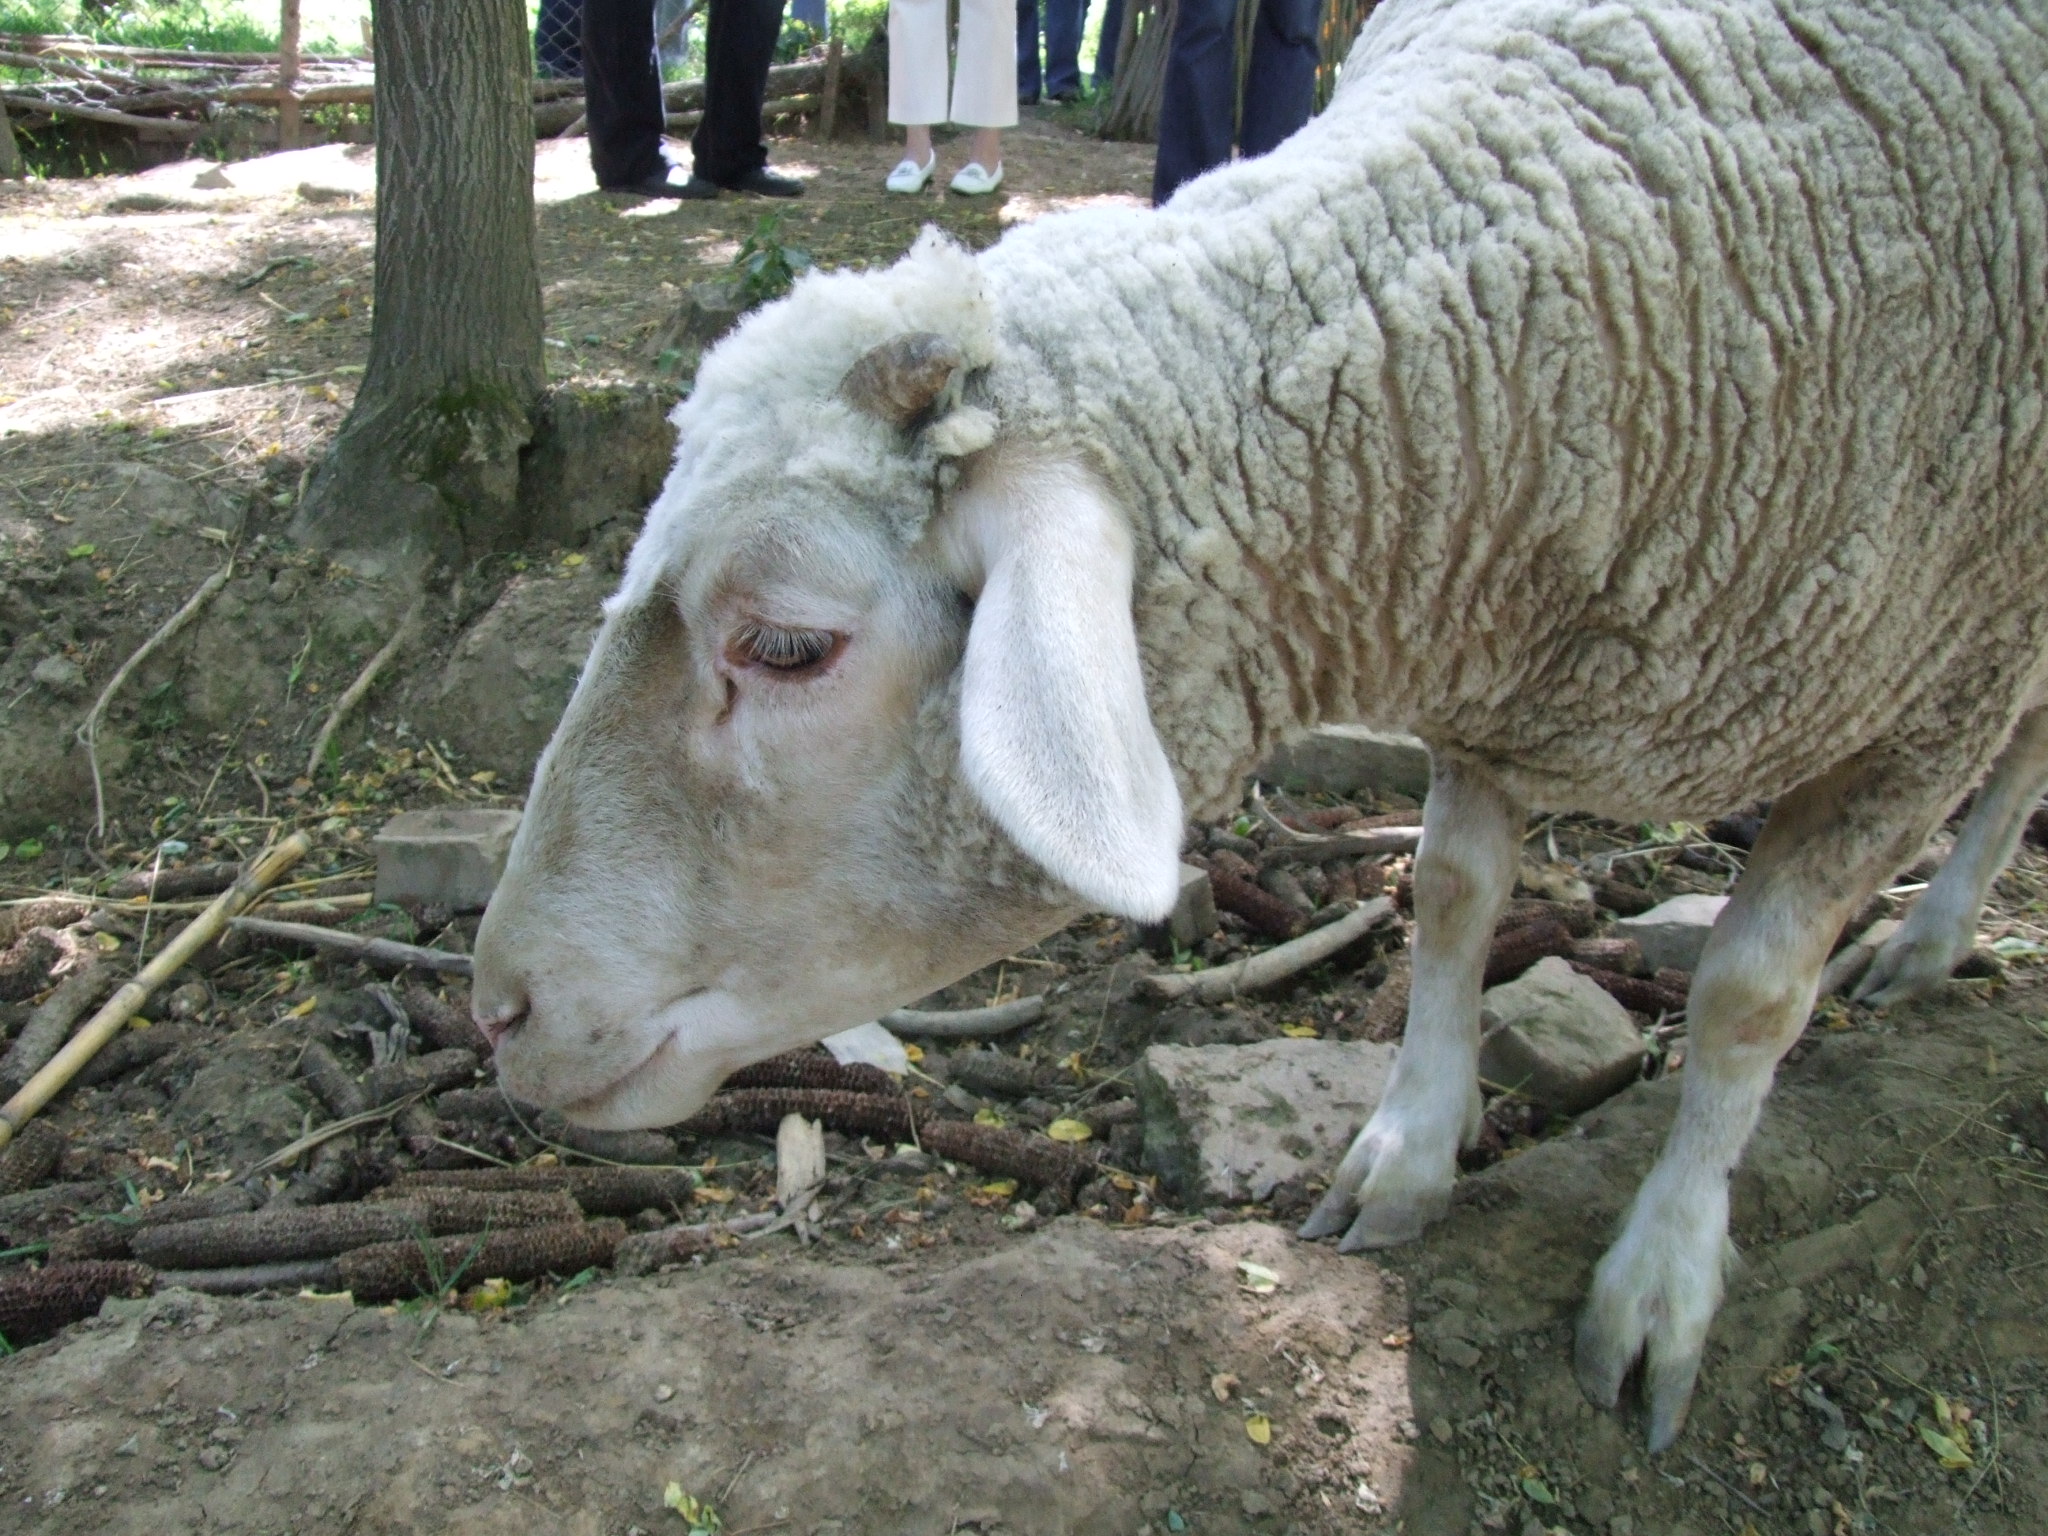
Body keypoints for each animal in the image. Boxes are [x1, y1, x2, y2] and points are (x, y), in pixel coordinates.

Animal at [473, 0, 2048, 1452]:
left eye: (787, 646)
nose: (497, 1008)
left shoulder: (1926, 697)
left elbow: (1746, 1000)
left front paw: (1661, 1283)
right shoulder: (1486, 646)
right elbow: (1453, 895)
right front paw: (1407, 1154)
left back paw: (1924, 941)